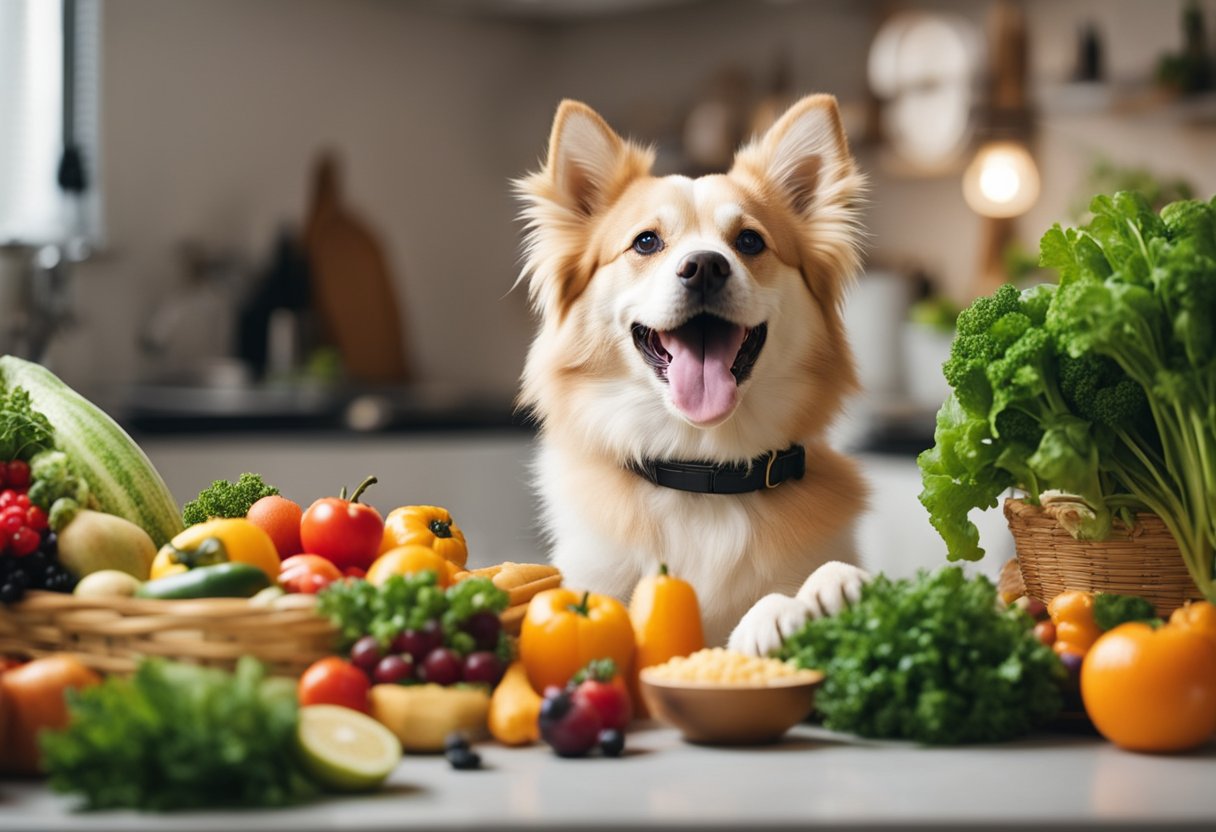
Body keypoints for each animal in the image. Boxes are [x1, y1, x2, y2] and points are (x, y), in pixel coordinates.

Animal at [515, 96, 875, 651]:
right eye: (645, 242)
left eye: (749, 241)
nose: (705, 266)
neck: (702, 471)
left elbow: (806, 584)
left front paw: (803, 599)